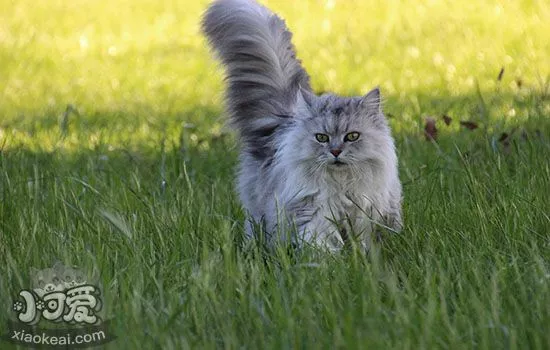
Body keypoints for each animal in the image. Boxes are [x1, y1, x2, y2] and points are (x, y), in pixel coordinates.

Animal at [201, 0, 404, 252]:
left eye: (352, 136)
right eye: (322, 138)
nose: (335, 152)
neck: (342, 185)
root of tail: (284, 119)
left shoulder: (368, 212)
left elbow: (366, 243)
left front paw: (363, 257)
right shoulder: (314, 212)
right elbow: (321, 242)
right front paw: (329, 260)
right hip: (260, 212)